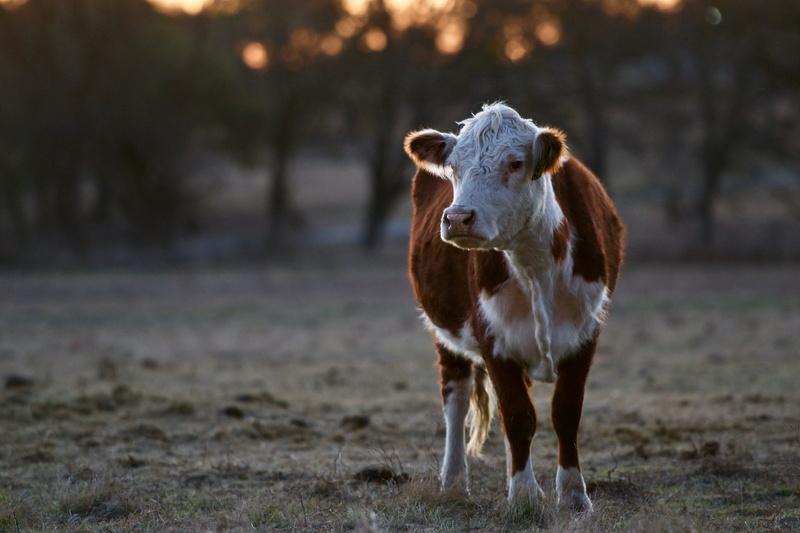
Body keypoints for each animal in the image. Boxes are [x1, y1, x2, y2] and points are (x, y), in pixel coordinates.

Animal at [404, 103, 624, 512]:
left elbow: (565, 413)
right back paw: (454, 481)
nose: (457, 218)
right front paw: (523, 494)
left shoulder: (587, 333)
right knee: (456, 398)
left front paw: (573, 495)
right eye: (454, 166)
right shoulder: (492, 336)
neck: (535, 265)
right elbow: (519, 415)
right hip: (444, 331)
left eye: (515, 162)